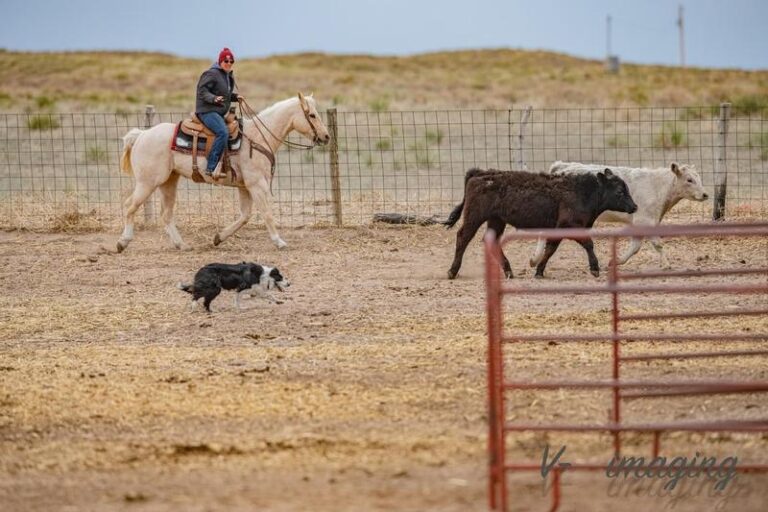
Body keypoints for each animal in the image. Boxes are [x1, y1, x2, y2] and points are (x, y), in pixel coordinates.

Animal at [117, 92, 330, 253]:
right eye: (312, 115)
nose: (326, 136)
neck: (257, 137)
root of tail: (142, 134)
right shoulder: (257, 184)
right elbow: (267, 214)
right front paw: (279, 241)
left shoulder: (245, 187)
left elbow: (245, 216)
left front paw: (218, 238)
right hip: (147, 183)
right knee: (129, 206)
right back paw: (123, 242)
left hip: (169, 181)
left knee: (166, 215)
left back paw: (182, 245)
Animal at [444, 168, 638, 279]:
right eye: (620, 191)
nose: (634, 207)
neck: (583, 191)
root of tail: (480, 173)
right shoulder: (570, 225)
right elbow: (588, 243)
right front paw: (595, 268)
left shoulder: (558, 229)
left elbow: (551, 249)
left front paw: (539, 271)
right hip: (474, 217)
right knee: (463, 237)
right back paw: (452, 271)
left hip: (496, 220)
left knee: (491, 241)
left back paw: (508, 271)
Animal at [529, 161, 709, 269]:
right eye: (689, 179)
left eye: (699, 178)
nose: (705, 194)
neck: (658, 187)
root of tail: (560, 166)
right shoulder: (645, 221)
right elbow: (658, 244)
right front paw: (666, 265)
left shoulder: (640, 224)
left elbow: (635, 247)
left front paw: (615, 262)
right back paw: (535, 260)